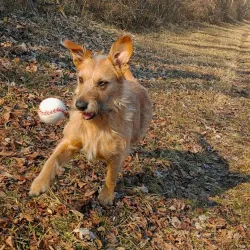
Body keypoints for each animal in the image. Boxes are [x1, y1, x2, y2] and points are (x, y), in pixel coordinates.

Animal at [28, 36, 152, 205]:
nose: (80, 105)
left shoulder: (117, 155)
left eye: (102, 83)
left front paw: (106, 196)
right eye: (80, 79)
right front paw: (39, 183)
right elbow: (52, 160)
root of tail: (136, 83)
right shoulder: (69, 142)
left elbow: (111, 176)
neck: (97, 122)